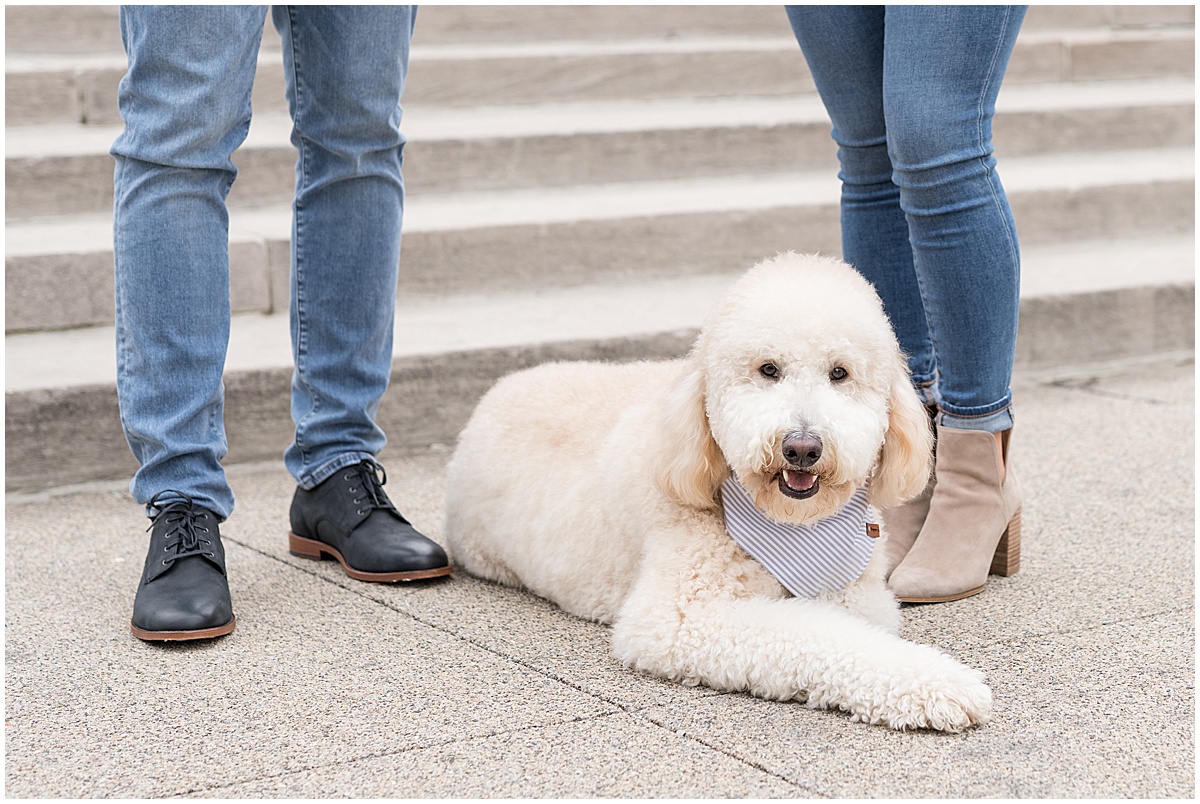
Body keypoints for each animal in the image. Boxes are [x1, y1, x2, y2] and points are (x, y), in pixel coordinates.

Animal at [446, 255, 988, 734]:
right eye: (768, 369)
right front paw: (942, 684)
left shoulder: (859, 593)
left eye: (840, 373)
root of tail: (495, 392)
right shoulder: (677, 618)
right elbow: (820, 634)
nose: (802, 448)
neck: (790, 524)